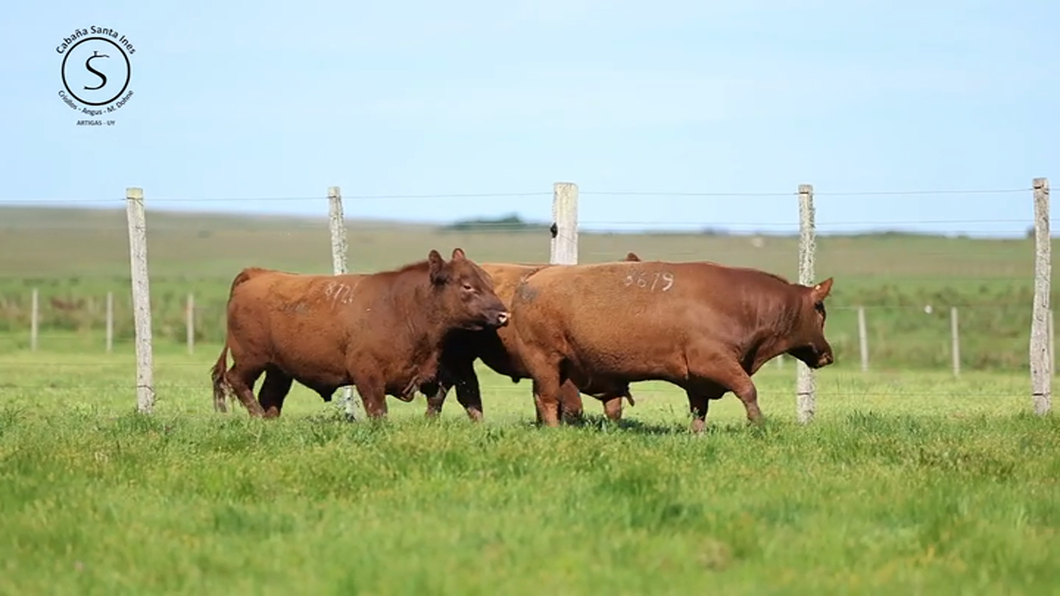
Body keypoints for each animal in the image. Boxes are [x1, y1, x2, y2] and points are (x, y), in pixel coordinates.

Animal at [209, 246, 508, 417]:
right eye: (467, 286)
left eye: (488, 281)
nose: (504, 314)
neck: (404, 308)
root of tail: (258, 274)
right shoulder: (367, 373)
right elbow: (378, 410)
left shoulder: (432, 374)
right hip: (251, 359)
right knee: (237, 381)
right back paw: (258, 417)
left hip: (279, 369)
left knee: (270, 397)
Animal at [508, 257, 831, 428]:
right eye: (820, 310)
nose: (827, 355)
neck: (739, 305)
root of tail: (533, 278)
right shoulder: (715, 363)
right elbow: (747, 390)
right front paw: (758, 425)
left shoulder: (697, 379)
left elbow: (700, 409)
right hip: (545, 360)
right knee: (548, 398)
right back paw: (553, 429)